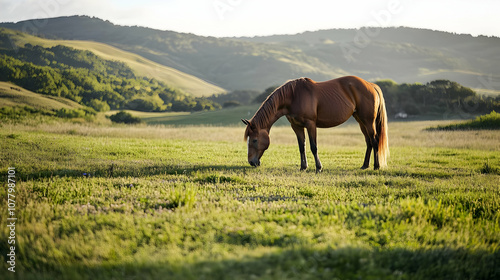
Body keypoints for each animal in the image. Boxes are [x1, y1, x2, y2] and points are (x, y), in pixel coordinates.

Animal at [240, 76, 388, 172]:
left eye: (254, 140)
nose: (251, 162)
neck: (293, 96)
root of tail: (371, 85)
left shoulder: (311, 124)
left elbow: (313, 146)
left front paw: (318, 168)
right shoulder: (296, 126)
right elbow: (302, 147)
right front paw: (303, 167)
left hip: (368, 121)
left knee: (374, 140)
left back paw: (376, 166)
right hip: (360, 121)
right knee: (368, 142)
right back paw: (365, 165)